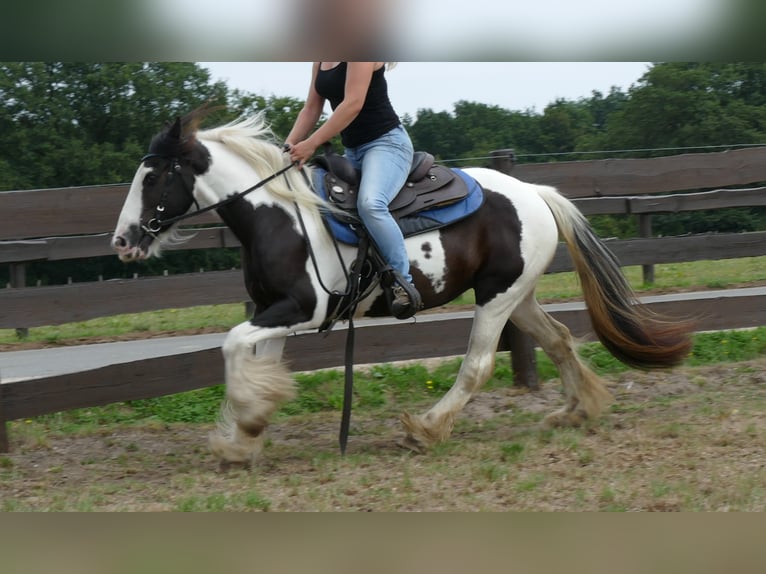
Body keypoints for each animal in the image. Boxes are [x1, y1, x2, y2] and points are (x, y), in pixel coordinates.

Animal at [114, 107, 696, 468]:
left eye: (153, 176)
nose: (123, 240)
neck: (279, 215)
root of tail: (533, 192)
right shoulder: (274, 308)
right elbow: (252, 358)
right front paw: (244, 440)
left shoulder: (301, 307)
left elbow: (233, 345)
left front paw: (248, 423)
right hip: (516, 294)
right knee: (556, 339)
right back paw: (577, 409)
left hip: (496, 299)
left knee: (478, 365)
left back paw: (427, 429)